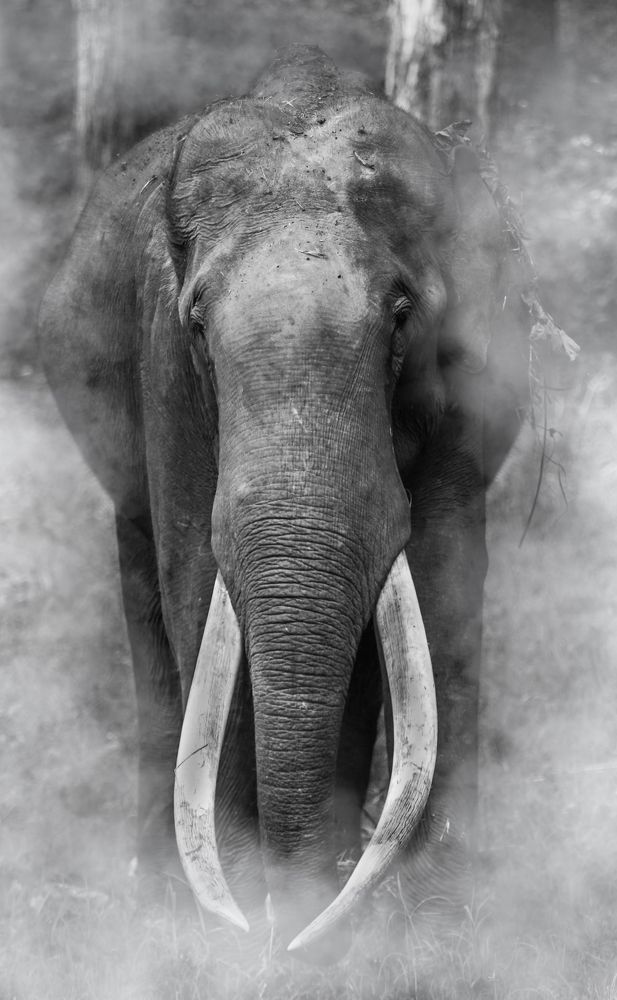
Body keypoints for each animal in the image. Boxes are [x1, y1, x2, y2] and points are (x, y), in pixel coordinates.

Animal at [39, 45, 535, 963]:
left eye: (401, 315)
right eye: (198, 323)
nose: (284, 928)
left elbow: (447, 571)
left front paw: (436, 923)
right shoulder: (164, 367)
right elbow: (194, 574)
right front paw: (233, 922)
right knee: (144, 597)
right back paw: (158, 888)